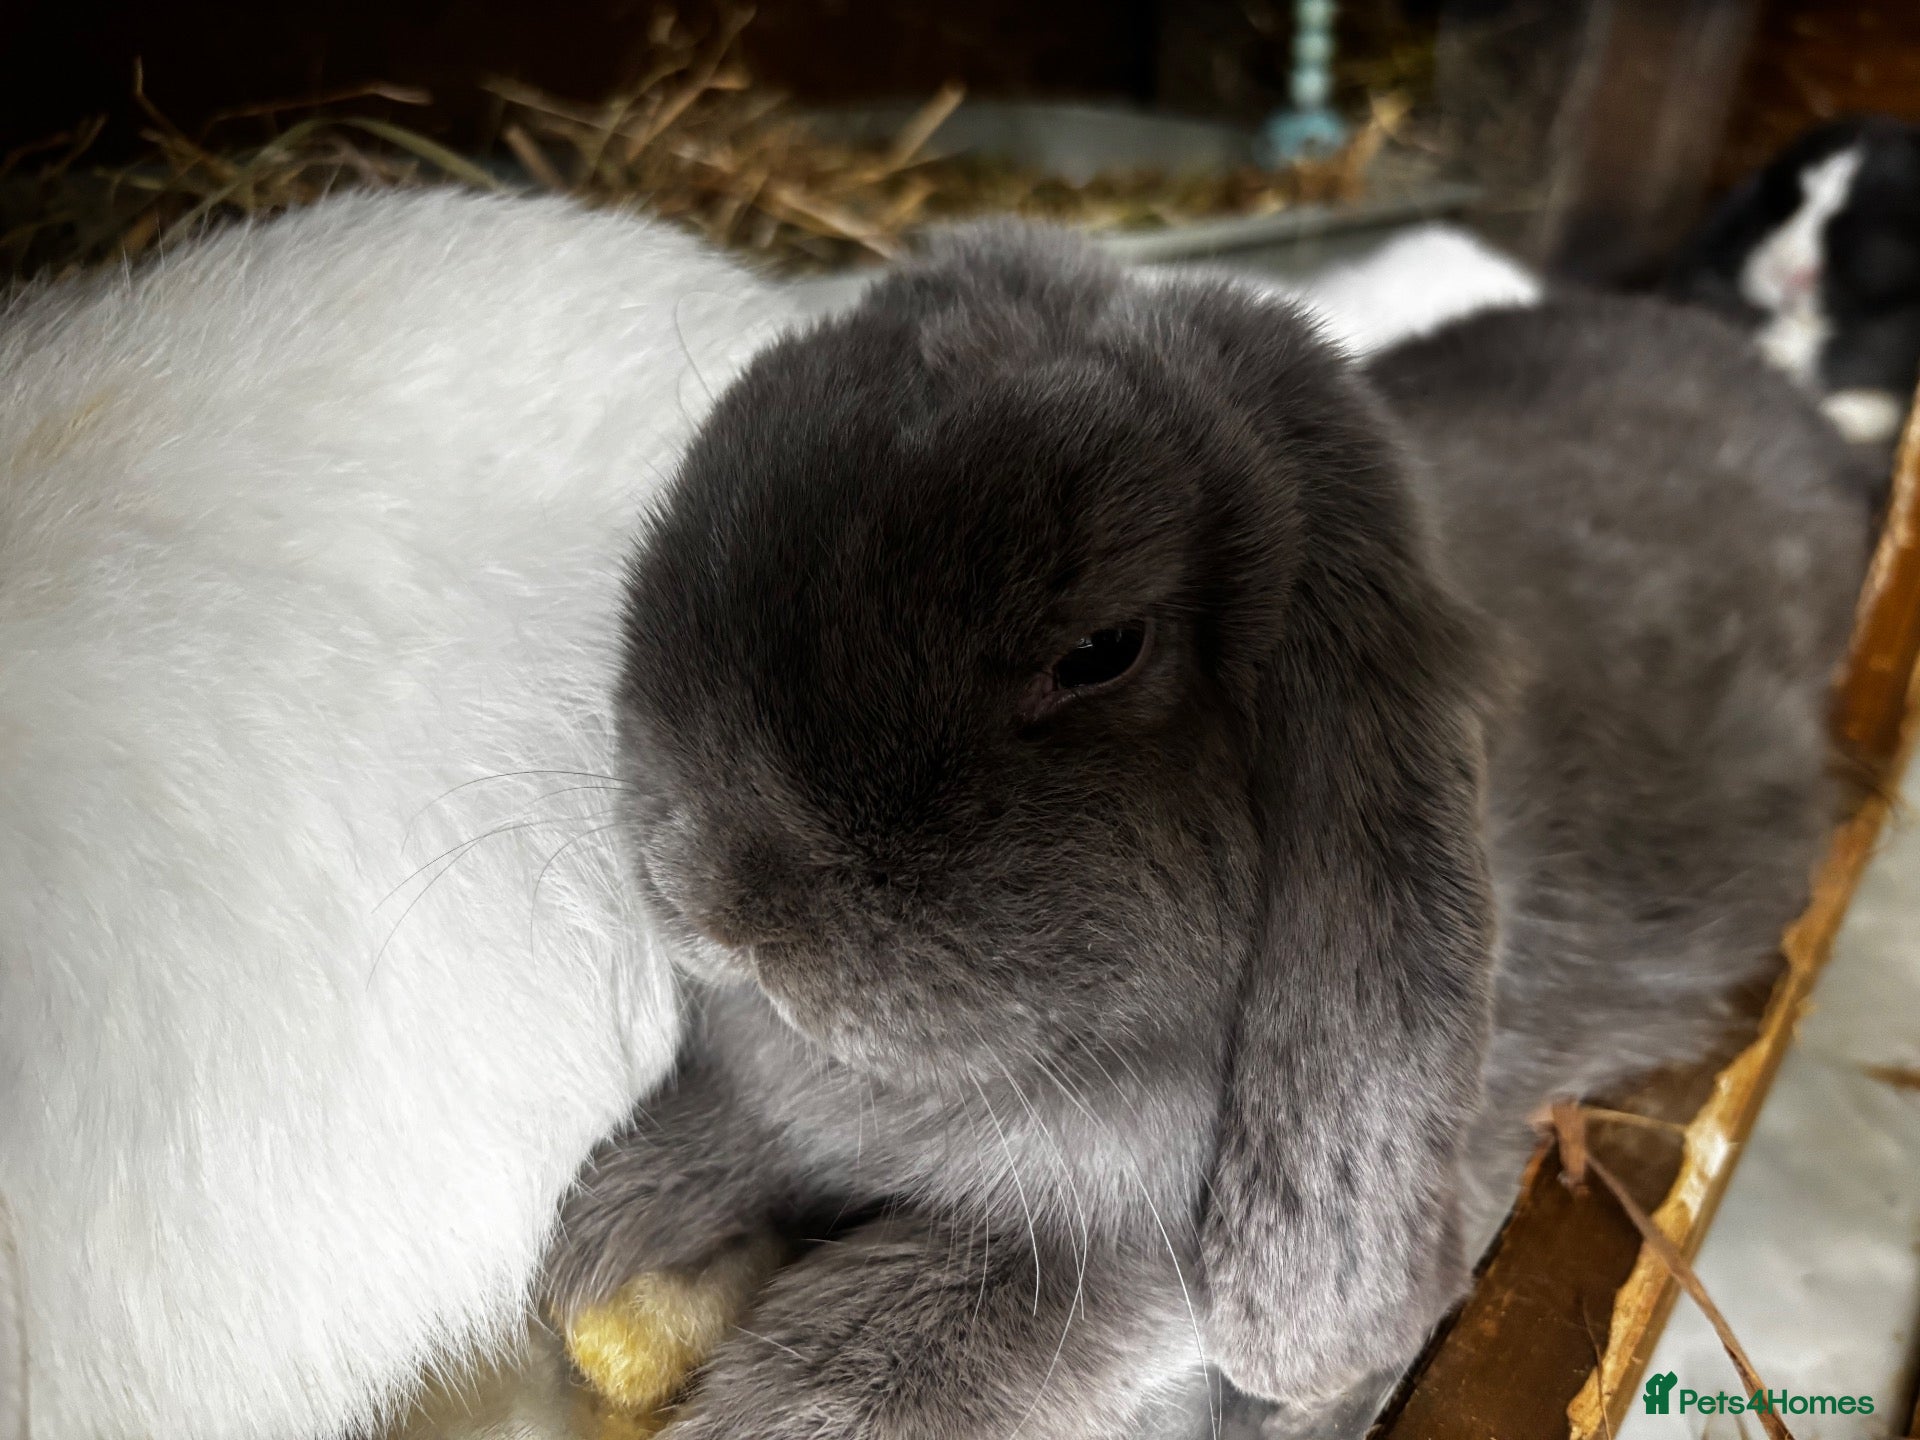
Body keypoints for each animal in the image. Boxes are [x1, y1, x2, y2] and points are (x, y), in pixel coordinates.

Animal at [541, 223, 1872, 1439]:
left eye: (1100, 650)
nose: (726, 893)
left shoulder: (1110, 1273)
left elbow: (894, 1345)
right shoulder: (777, 1105)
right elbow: (715, 1142)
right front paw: (590, 1245)